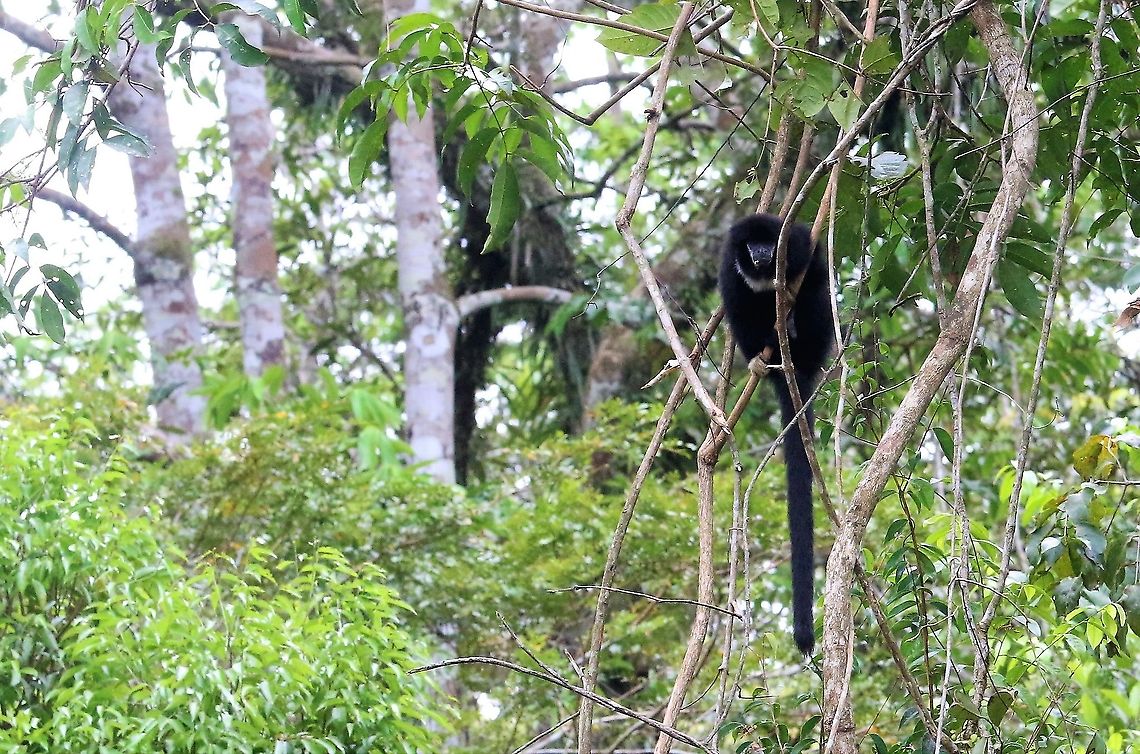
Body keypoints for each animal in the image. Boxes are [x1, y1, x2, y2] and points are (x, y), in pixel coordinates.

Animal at [718, 213, 836, 654]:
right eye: (750, 246)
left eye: (769, 243)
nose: (762, 254)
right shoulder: (729, 268)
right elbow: (735, 302)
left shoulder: (796, 241)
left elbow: (814, 269)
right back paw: (764, 353)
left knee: (816, 299)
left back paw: (792, 328)